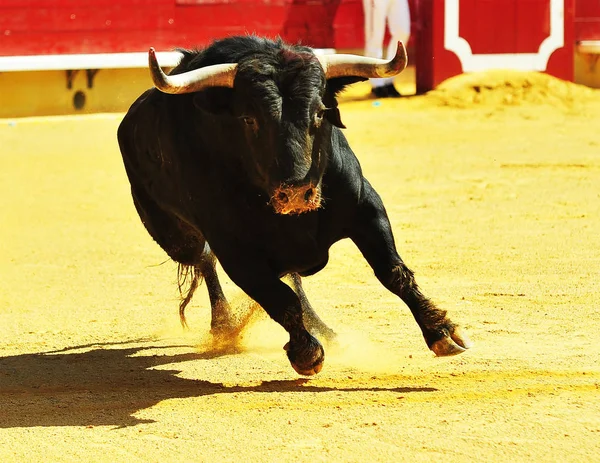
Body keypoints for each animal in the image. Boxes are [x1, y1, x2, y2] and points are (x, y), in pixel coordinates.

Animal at [117, 36, 474, 376]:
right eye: (249, 119)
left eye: (319, 112)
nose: (298, 191)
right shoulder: (235, 250)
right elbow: (278, 299)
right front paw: (305, 352)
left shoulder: (367, 208)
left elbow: (393, 272)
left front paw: (442, 331)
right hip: (175, 236)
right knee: (205, 261)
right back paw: (225, 324)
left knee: (293, 280)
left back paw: (329, 333)